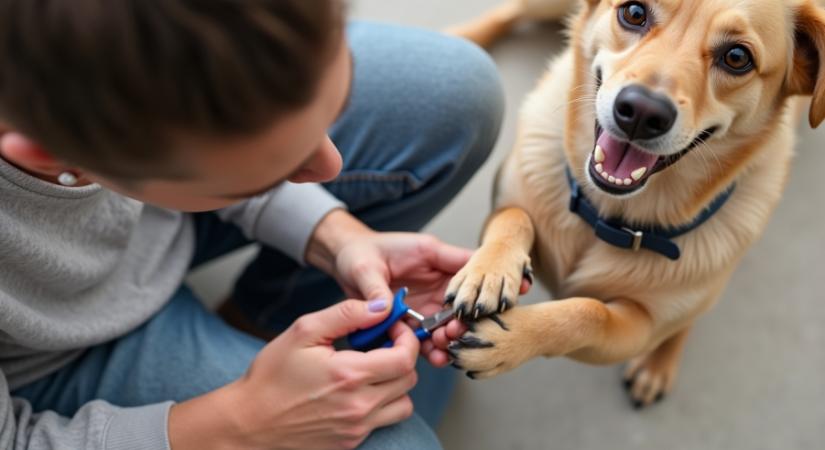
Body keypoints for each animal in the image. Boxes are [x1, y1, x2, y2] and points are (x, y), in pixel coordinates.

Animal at [444, 0, 824, 408]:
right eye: (634, 13)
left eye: (737, 57)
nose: (642, 112)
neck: (605, 217)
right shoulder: (508, 201)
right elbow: (514, 216)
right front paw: (489, 271)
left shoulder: (638, 329)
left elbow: (589, 312)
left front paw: (514, 338)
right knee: (509, 12)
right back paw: (460, 37)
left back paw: (660, 361)